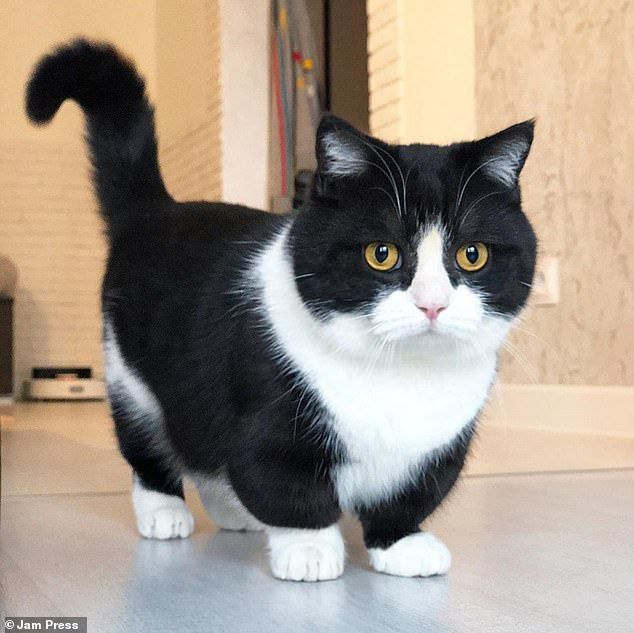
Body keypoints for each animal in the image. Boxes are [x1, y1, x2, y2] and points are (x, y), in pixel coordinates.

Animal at [27, 40, 536, 584]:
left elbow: (410, 495)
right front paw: (309, 549)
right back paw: (164, 511)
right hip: (131, 377)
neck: (400, 376)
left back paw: (231, 512)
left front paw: (402, 543)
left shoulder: (439, 446)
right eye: (381, 254)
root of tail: (155, 211)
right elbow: (284, 486)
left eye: (472, 254)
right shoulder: (267, 415)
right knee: (151, 444)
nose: (432, 303)